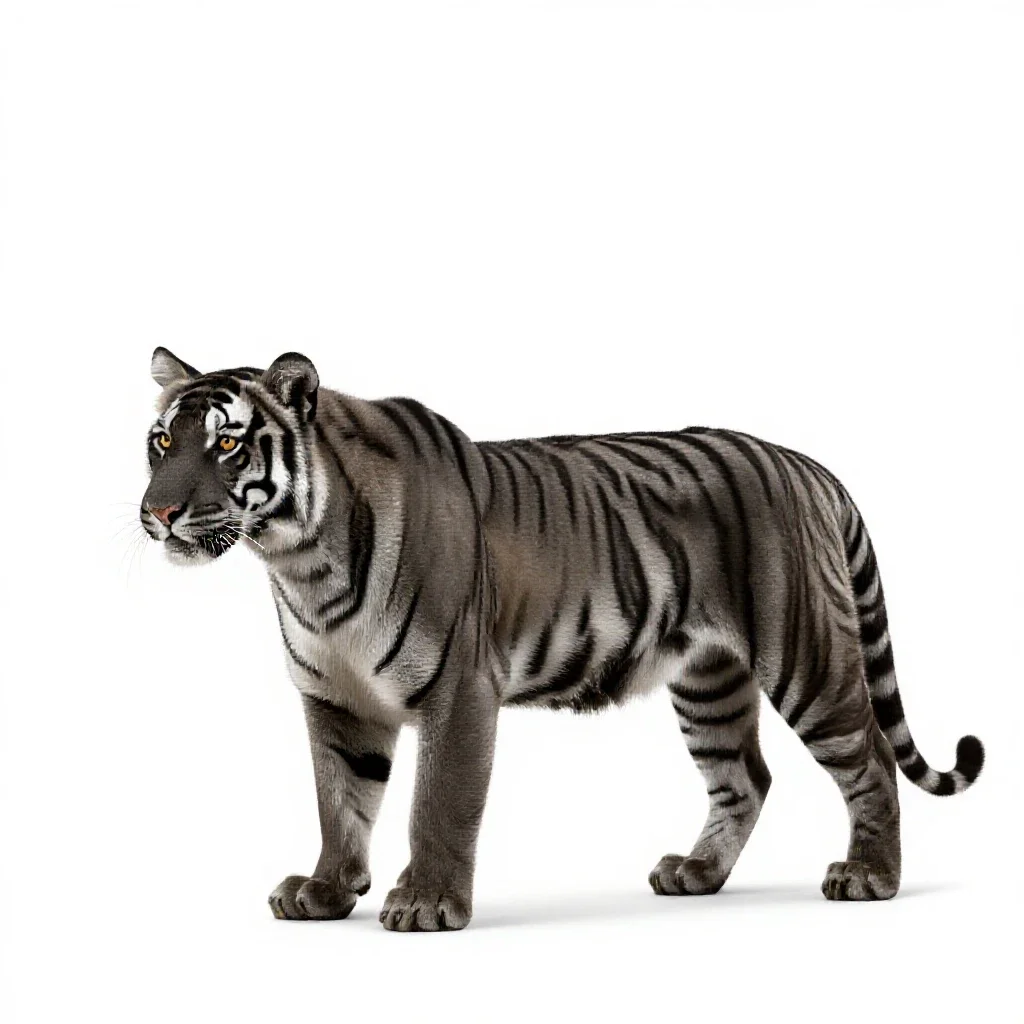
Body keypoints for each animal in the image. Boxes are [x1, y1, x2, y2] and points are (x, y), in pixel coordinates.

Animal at [140, 346, 984, 931]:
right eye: (161, 442)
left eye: (225, 444)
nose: (159, 514)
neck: (300, 560)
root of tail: (807, 465)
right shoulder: (335, 699)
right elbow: (338, 800)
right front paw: (323, 890)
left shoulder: (459, 690)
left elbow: (437, 803)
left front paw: (427, 903)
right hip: (708, 680)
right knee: (745, 777)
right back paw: (696, 873)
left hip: (805, 655)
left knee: (869, 757)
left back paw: (869, 877)